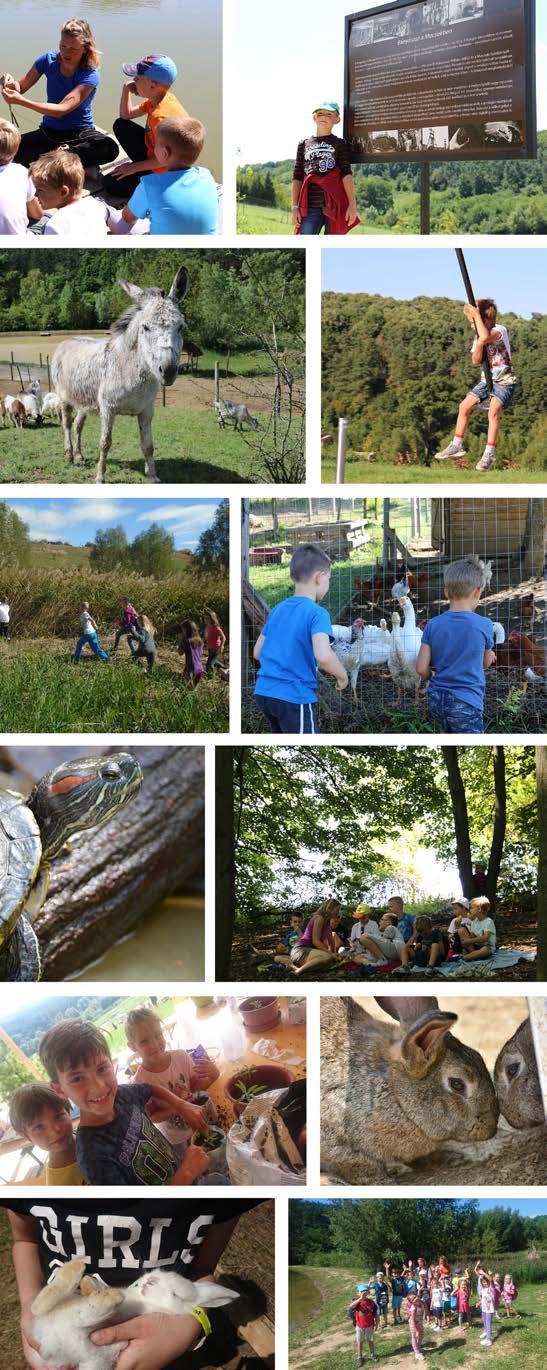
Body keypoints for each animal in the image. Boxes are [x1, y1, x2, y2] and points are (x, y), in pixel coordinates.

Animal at [31, 1254, 238, 1370]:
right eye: (155, 1275)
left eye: (176, 1294)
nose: (149, 1282)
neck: (145, 1302)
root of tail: (53, 1338)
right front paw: (89, 1284)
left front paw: (93, 1287)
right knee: (40, 1306)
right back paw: (79, 1272)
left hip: (92, 1356)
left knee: (51, 1308)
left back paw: (106, 1294)